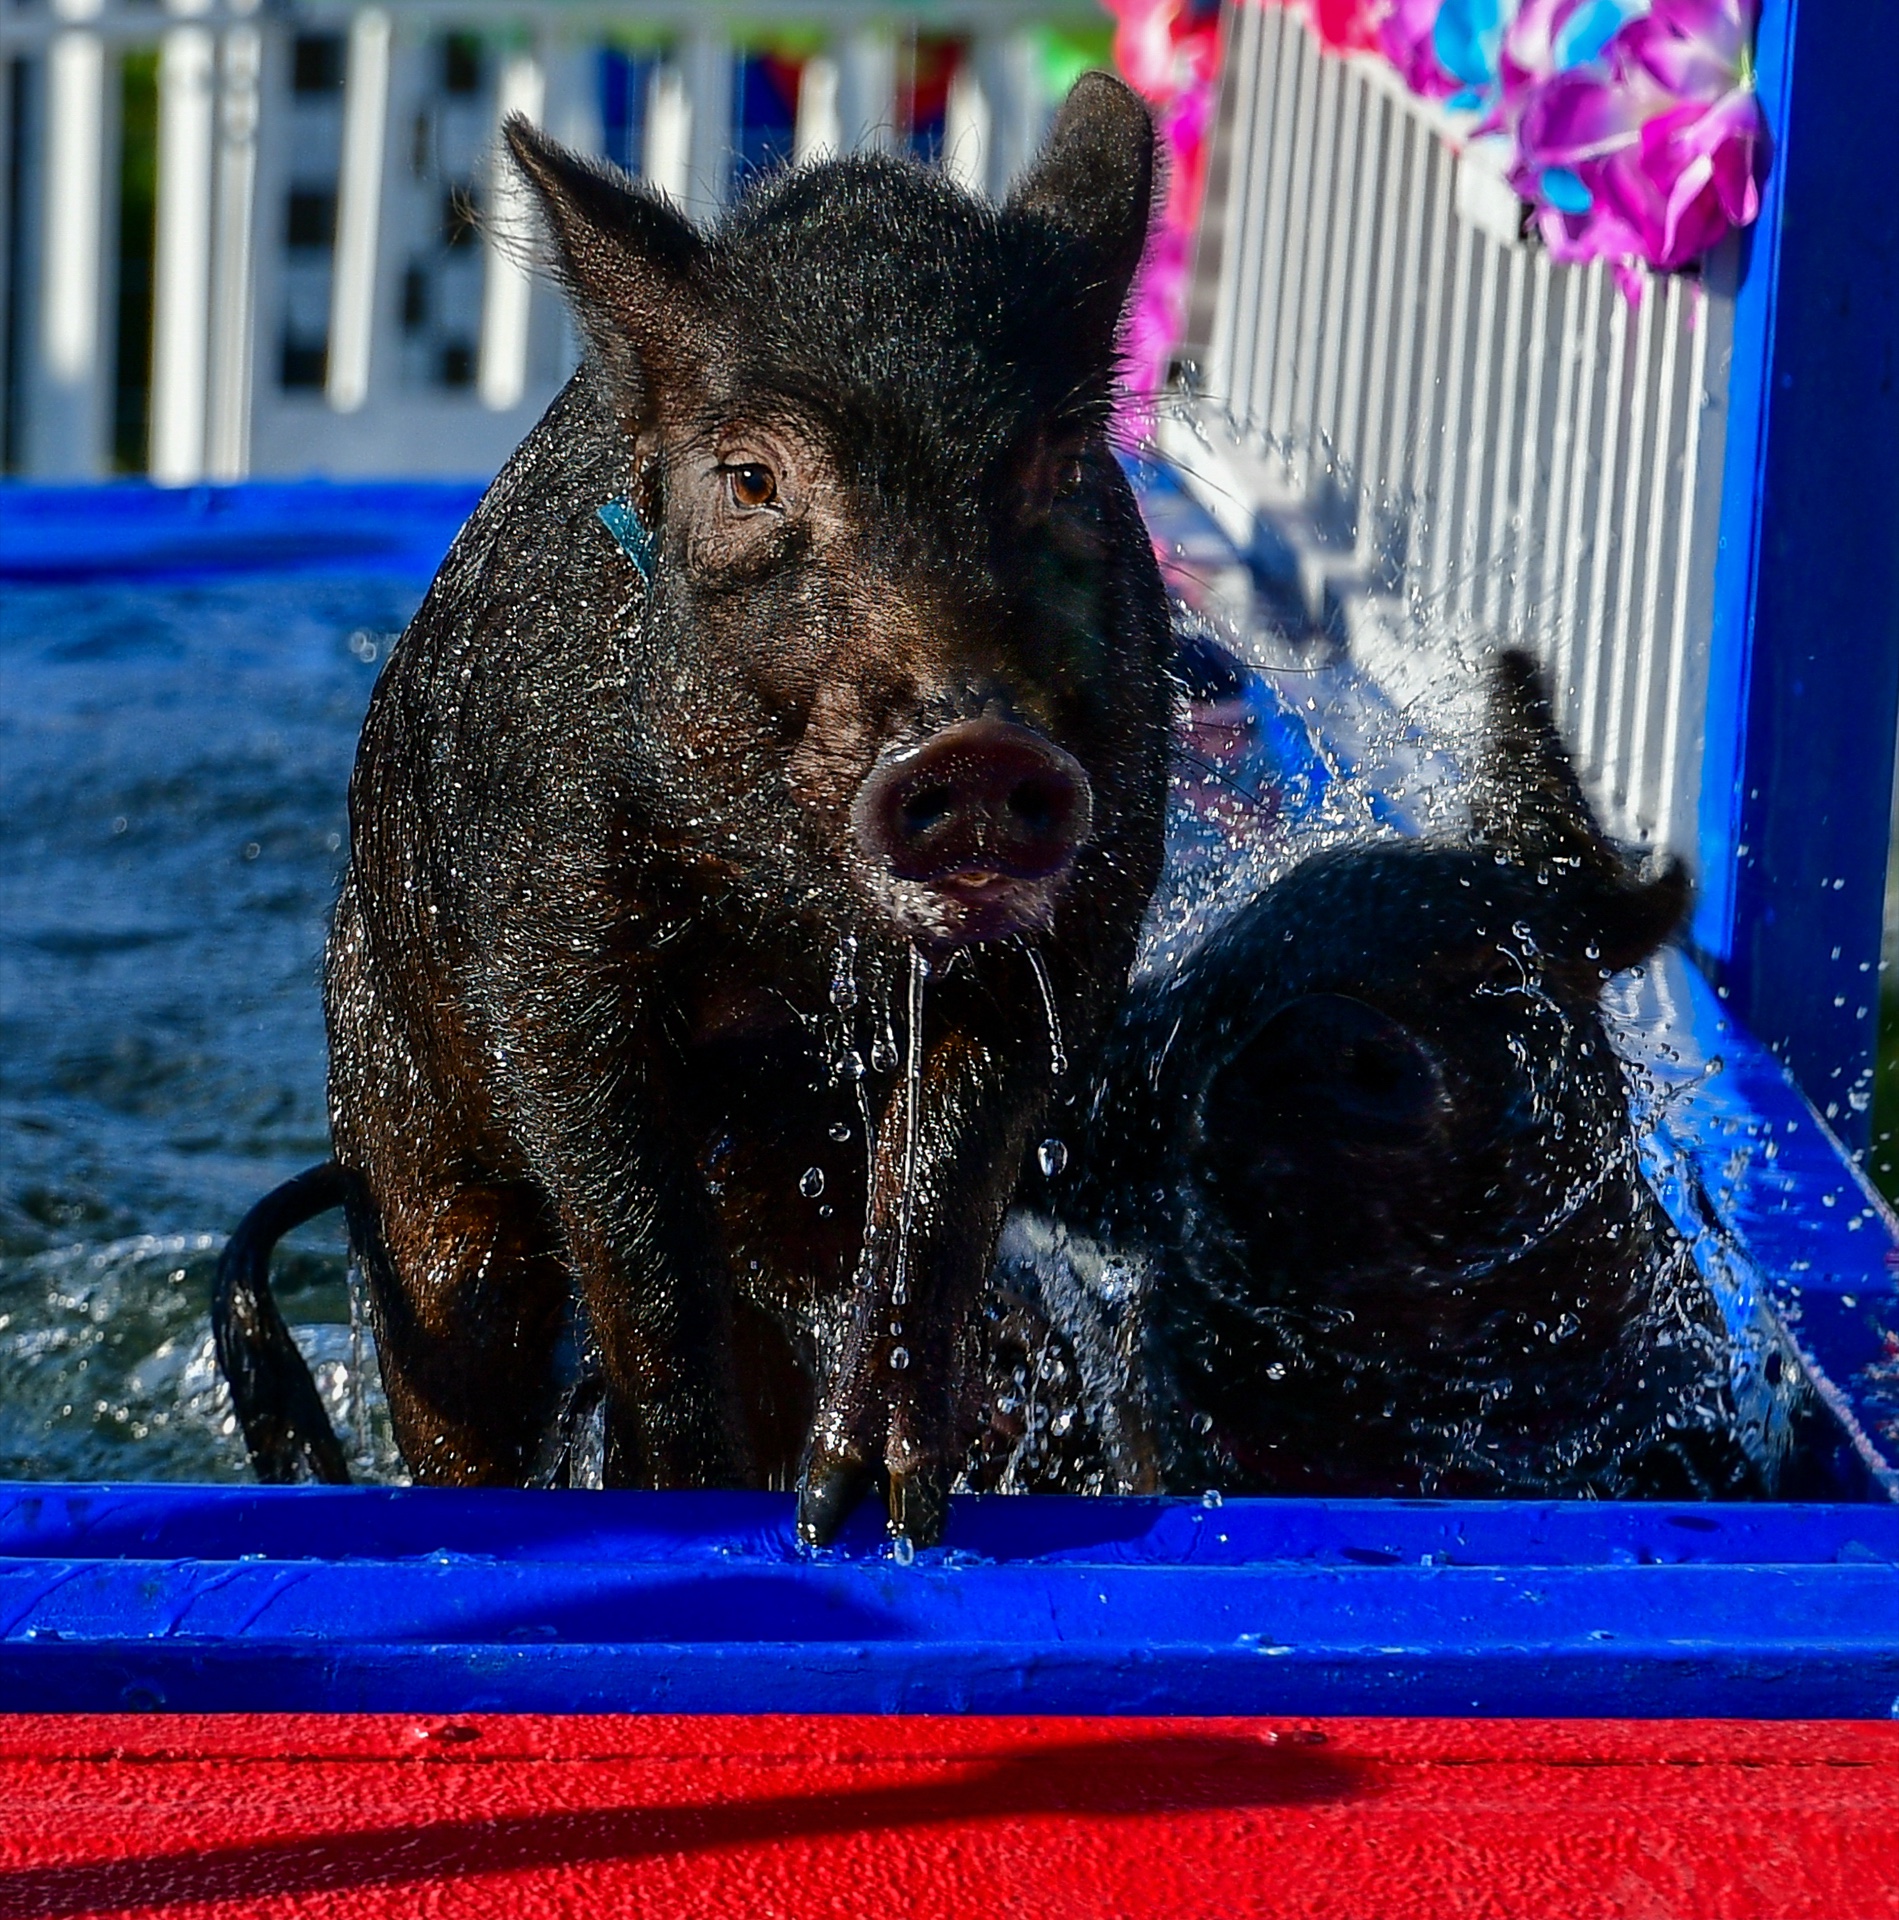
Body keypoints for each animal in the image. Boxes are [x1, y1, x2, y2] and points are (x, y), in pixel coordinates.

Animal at [214, 76, 1175, 1546]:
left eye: (1060, 461)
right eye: (751, 480)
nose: (973, 741)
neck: (791, 921)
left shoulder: (1080, 919)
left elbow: (943, 1179)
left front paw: (870, 1513)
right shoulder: (548, 941)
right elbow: (635, 1241)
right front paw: (691, 1500)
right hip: (402, 1142)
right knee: (460, 1367)